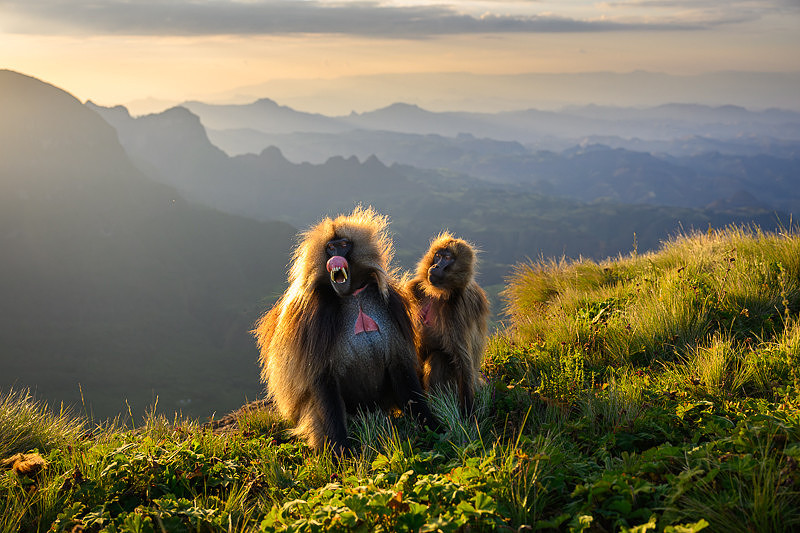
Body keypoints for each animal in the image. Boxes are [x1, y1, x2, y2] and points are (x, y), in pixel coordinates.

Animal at [253, 206, 438, 455]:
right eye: (330, 248)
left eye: (343, 245)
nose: (335, 258)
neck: (353, 295)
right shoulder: (314, 318)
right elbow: (322, 379)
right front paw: (341, 449)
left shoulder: (389, 304)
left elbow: (400, 366)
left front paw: (432, 425)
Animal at [406, 232, 490, 416]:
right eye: (438, 255)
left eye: (447, 258)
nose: (436, 265)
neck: (439, 293)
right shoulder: (416, 288)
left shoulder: (456, 308)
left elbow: (462, 360)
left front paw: (468, 415)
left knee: (439, 359)